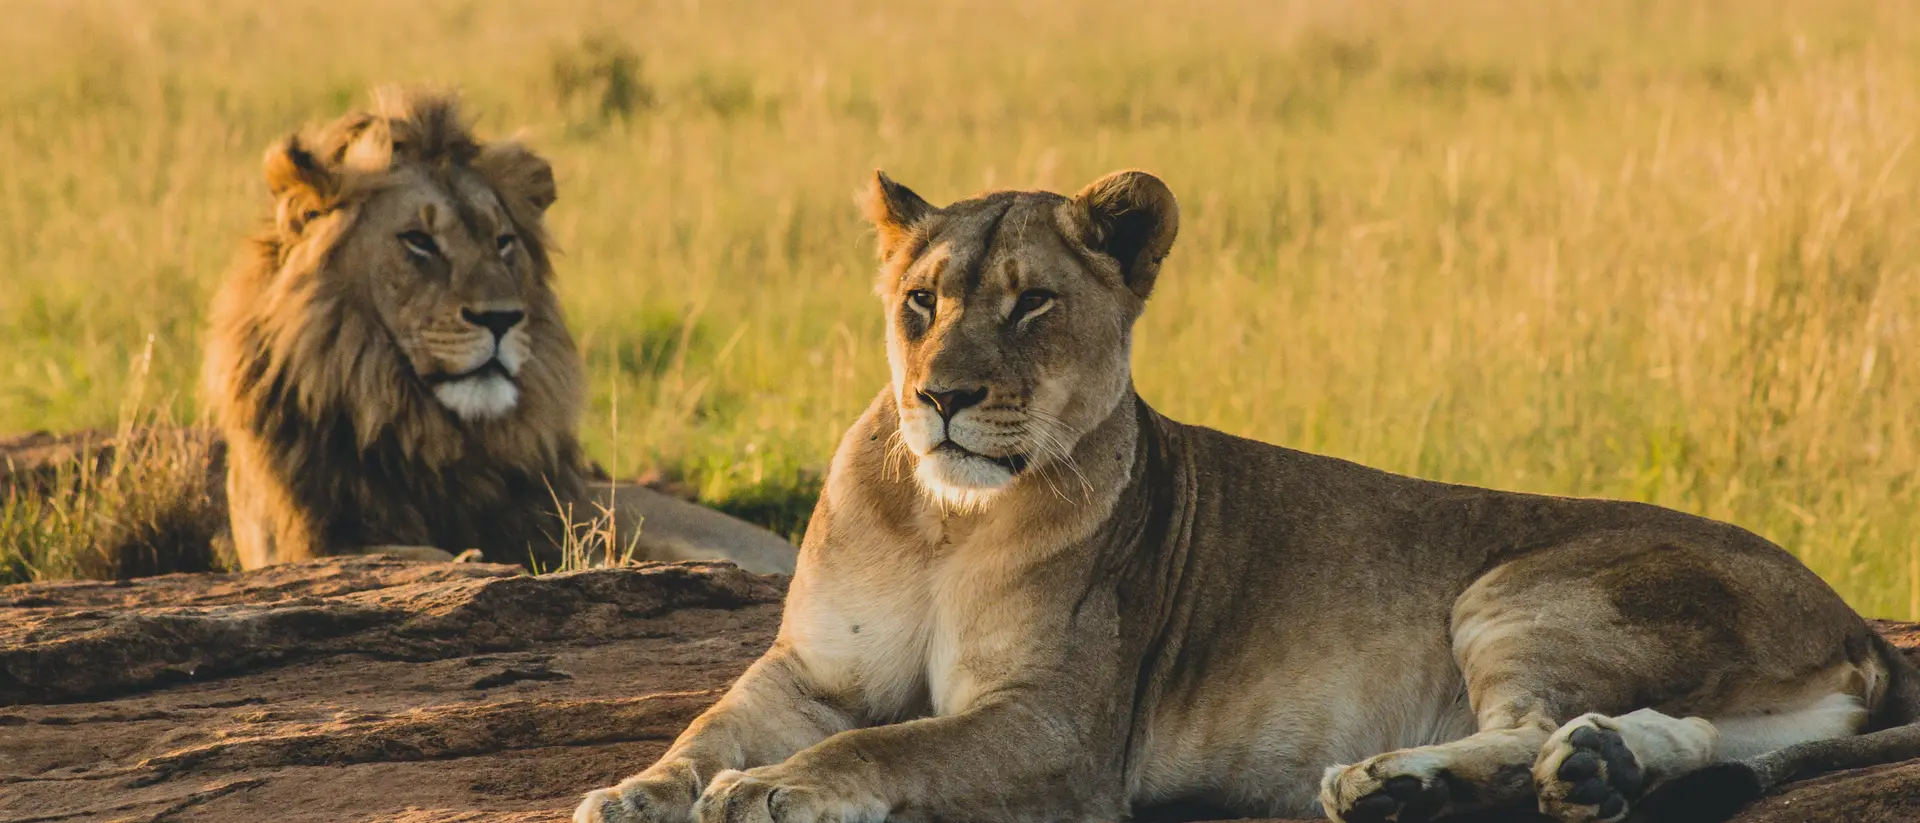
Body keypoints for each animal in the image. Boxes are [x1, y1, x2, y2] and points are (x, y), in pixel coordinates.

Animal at [575, 169, 1920, 823]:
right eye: (921, 301)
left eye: (1032, 303)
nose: (942, 396)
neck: (941, 521)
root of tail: (1854, 620)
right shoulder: (811, 669)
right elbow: (714, 724)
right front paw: (636, 791)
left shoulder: (1061, 731)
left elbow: (890, 741)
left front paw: (778, 790)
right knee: (1677, 736)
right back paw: (1578, 773)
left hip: (1517, 586)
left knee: (1540, 720)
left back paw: (1408, 783)